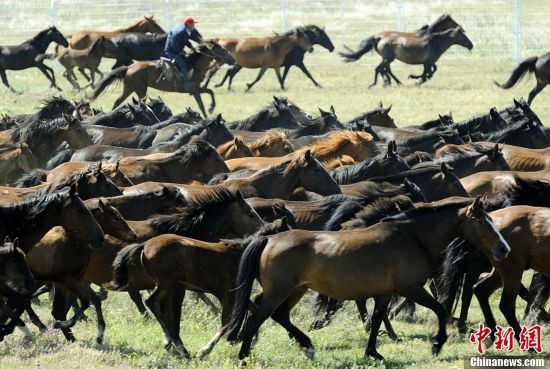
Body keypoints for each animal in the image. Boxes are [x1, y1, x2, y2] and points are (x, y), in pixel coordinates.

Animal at [90, 40, 235, 116]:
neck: (193, 65)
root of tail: (129, 67)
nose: (233, 59)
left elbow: (209, 93)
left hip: (129, 88)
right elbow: (204, 101)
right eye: (222, 50)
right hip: (140, 89)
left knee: (117, 102)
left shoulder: (196, 89)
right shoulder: (194, 90)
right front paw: (210, 110)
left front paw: (210, 109)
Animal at [225, 196, 512, 360]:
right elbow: (440, 309)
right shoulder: (411, 289)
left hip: (296, 290)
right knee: (259, 316)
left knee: (277, 314)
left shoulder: (385, 293)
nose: (504, 249)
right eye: (482, 222)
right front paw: (437, 344)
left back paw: (306, 345)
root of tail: (269, 239)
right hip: (280, 291)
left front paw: (373, 352)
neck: (412, 237)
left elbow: (375, 321)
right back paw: (244, 355)